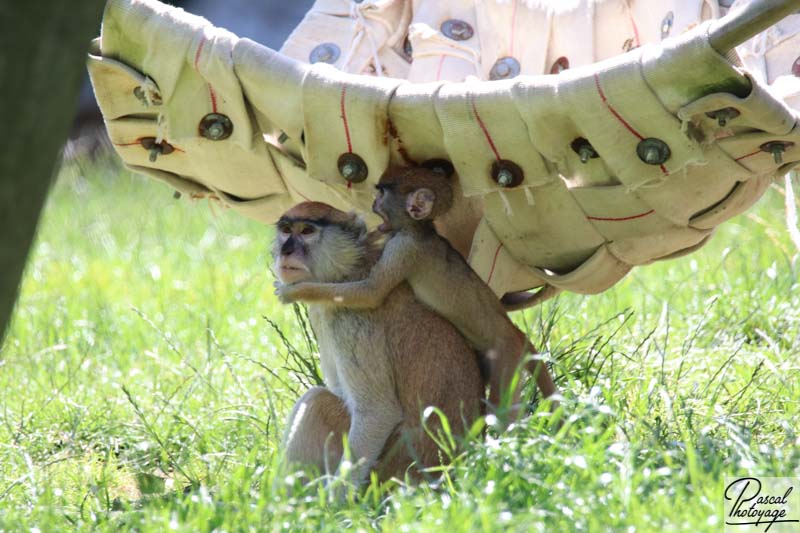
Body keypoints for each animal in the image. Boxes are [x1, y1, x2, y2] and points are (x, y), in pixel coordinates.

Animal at [272, 202, 484, 484]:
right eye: (286, 230)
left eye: (307, 231)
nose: (285, 251)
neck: (345, 272)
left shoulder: (351, 319)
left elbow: (377, 413)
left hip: (392, 471)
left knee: (317, 401)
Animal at [278, 168, 560, 410]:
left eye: (381, 194)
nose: (373, 204)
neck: (421, 229)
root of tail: (515, 334)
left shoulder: (404, 249)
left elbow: (372, 293)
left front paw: (295, 291)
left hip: (506, 355)